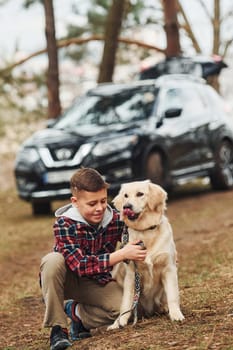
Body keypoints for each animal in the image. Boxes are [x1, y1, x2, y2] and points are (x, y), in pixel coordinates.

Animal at [108, 179, 185, 330]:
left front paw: (176, 314)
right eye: (125, 196)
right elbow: (126, 303)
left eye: (140, 194)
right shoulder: (131, 274)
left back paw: (165, 308)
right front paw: (119, 322)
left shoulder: (169, 268)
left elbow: (173, 295)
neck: (145, 231)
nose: (126, 206)